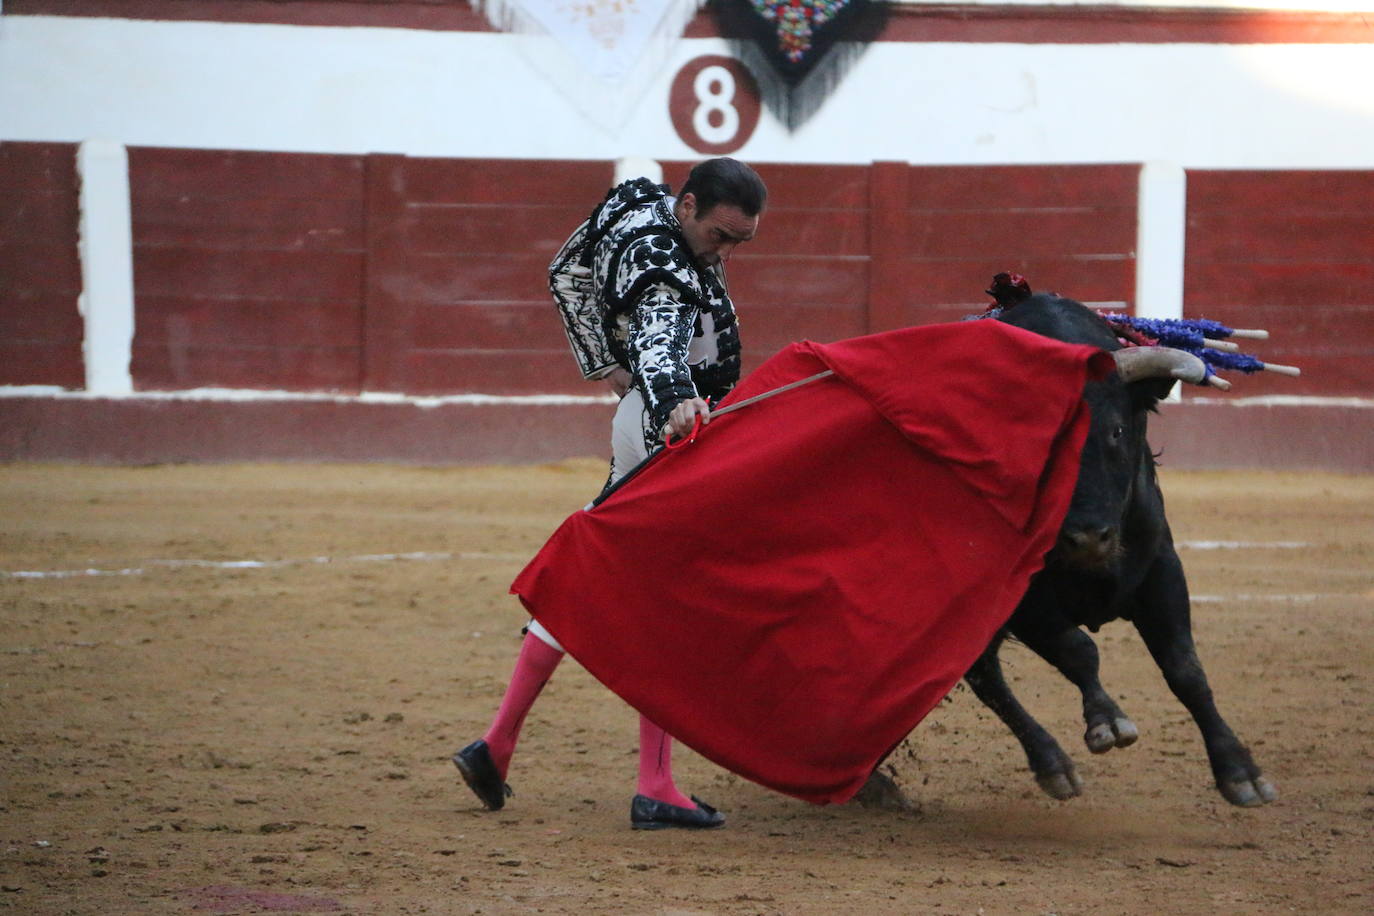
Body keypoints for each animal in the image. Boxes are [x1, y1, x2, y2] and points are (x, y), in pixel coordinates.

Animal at [895, 295, 1269, 807]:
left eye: (1115, 432)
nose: (1088, 538)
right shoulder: (1021, 595)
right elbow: (1078, 650)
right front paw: (1108, 722)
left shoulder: (1162, 570)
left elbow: (1185, 669)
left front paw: (1239, 771)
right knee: (983, 674)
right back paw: (1049, 765)